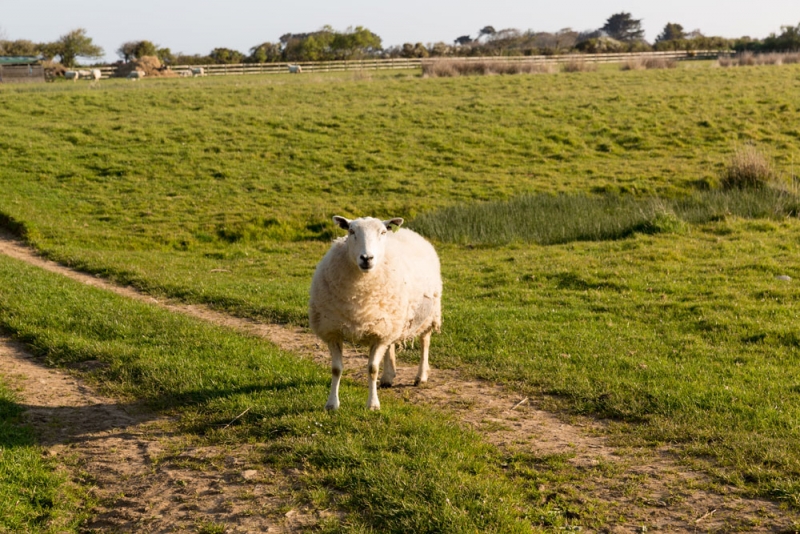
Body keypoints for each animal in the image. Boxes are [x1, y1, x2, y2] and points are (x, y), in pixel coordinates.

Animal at [310, 216, 444, 412]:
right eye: (351, 231)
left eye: (382, 232)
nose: (367, 258)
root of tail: (410, 232)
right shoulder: (333, 330)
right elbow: (336, 369)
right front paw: (332, 404)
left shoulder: (379, 334)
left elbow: (372, 369)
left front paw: (373, 404)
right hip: (391, 319)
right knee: (391, 345)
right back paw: (388, 376)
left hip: (428, 314)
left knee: (424, 341)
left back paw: (421, 376)